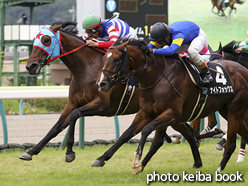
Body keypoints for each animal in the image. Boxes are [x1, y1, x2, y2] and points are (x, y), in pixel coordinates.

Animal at [21, 21, 202, 165]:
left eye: (46, 40)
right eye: (34, 40)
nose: (30, 66)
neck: (88, 68)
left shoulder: (103, 105)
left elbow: (75, 115)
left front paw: (70, 152)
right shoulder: (72, 103)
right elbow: (56, 127)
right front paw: (30, 152)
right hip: (172, 113)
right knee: (187, 132)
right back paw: (196, 161)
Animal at [95, 38, 248, 174]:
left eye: (116, 59)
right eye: (104, 58)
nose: (101, 84)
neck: (157, 77)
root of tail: (244, 70)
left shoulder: (172, 113)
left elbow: (146, 130)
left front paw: (137, 162)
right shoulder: (147, 112)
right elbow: (126, 134)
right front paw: (101, 158)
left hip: (235, 110)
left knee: (231, 144)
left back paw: (219, 169)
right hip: (227, 111)